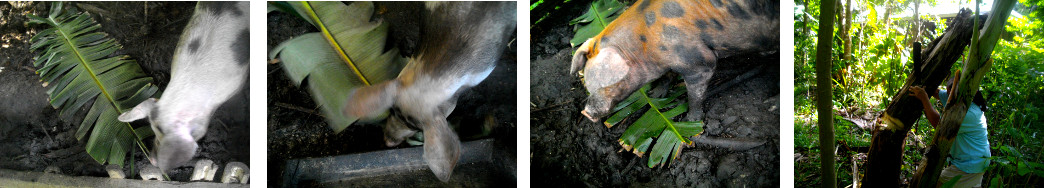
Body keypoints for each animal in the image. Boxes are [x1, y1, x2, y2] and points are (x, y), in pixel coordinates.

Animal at [572, 0, 776, 121]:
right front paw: (655, 94)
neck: (645, 45)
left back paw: (771, 104)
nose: (585, 113)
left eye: (605, 84)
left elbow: (695, 95)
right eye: (587, 84)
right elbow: (667, 76)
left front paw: (691, 120)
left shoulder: (700, 63)